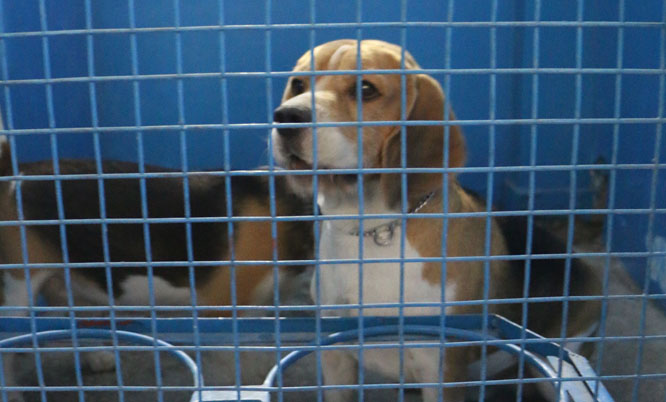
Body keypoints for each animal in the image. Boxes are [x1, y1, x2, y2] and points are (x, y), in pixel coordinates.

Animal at [272, 39, 601, 401]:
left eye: (365, 89)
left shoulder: (441, 370)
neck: (373, 228)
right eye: (297, 84)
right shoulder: (336, 360)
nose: (286, 117)